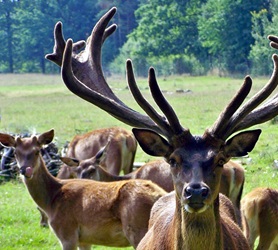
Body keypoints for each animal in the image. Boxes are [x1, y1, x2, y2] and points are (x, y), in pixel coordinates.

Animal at [0, 130, 166, 249]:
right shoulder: (85, 239)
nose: (25, 170)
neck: (51, 200)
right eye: (15, 152)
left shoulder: (67, 233)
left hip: (138, 230)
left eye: (37, 151)